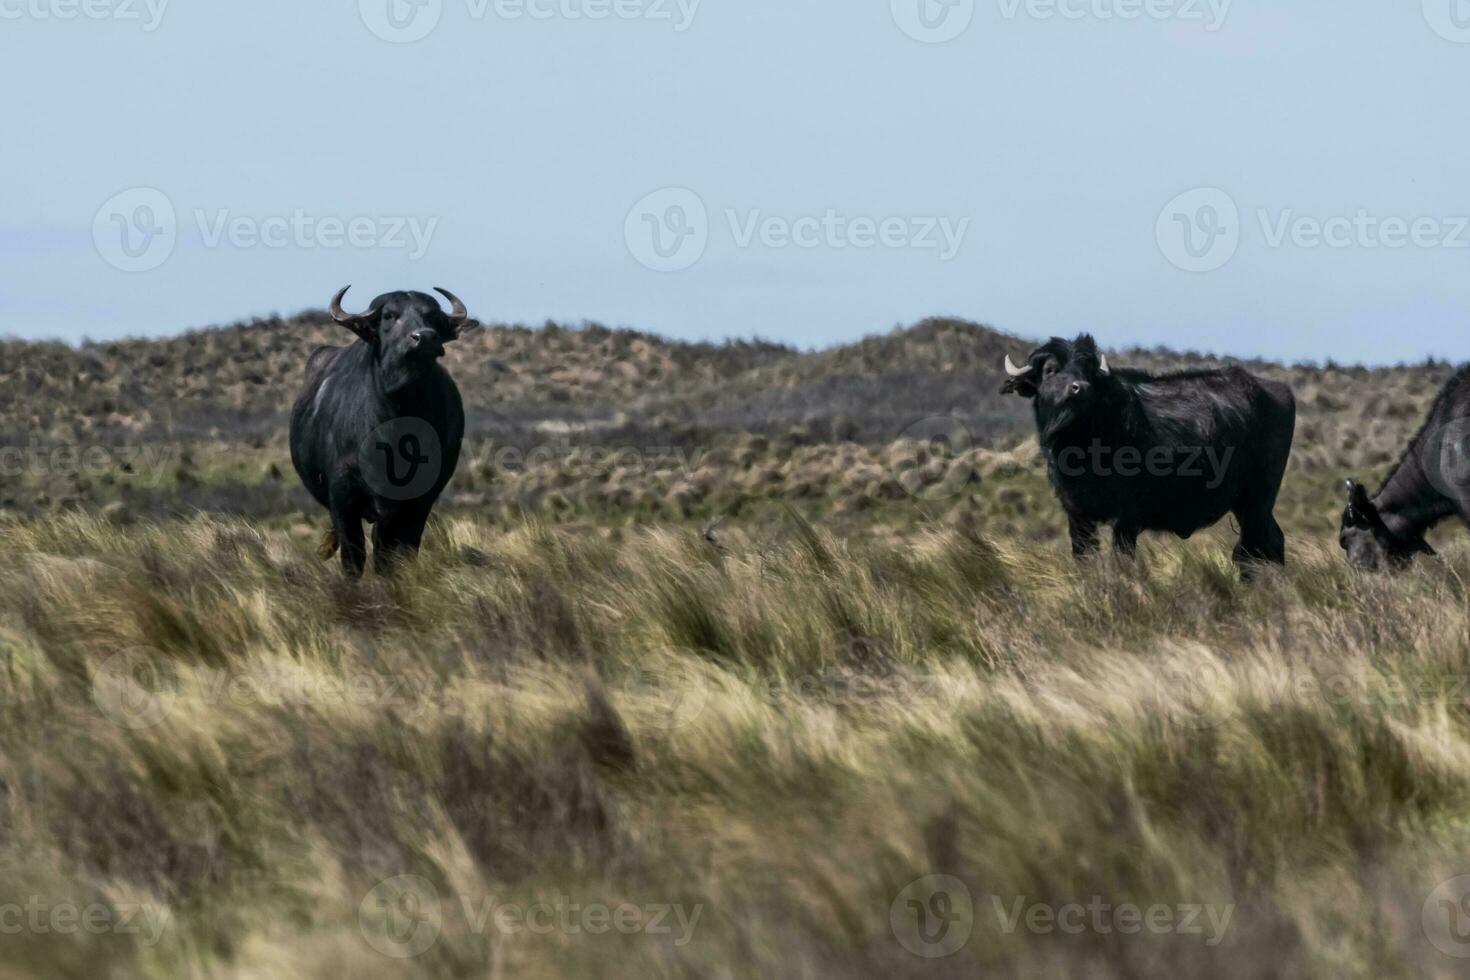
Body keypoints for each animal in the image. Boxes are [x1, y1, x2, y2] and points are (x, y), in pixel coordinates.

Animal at [286, 283, 470, 575]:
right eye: (389, 316)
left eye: (431, 315)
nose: (424, 337)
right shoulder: (343, 494)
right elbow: (354, 554)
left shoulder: (419, 500)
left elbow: (398, 551)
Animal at [999, 334, 1299, 575]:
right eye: (1050, 369)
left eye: (1087, 370)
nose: (1079, 388)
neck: (1082, 447)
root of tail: (1276, 389)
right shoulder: (1077, 516)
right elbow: (1084, 560)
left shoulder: (1126, 519)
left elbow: (1122, 562)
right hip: (1247, 504)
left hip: (1258, 499)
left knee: (1257, 547)